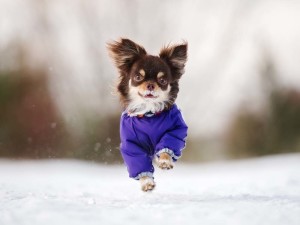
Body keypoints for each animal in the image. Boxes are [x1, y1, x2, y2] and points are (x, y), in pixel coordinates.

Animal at [107, 38, 188, 192]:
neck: (149, 116)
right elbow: (140, 165)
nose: (150, 85)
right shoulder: (131, 145)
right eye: (138, 77)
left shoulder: (175, 129)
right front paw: (146, 182)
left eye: (162, 81)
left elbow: (167, 145)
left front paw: (164, 160)